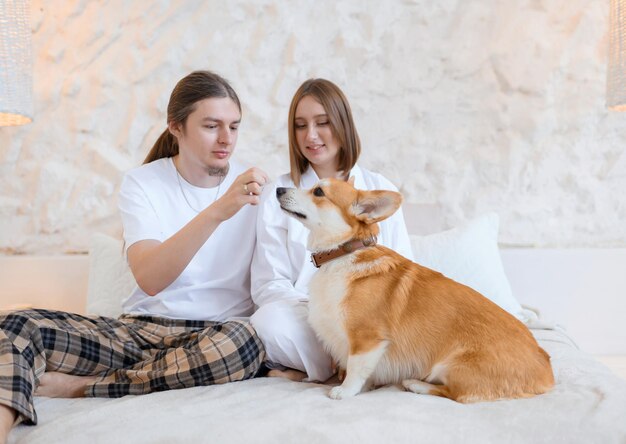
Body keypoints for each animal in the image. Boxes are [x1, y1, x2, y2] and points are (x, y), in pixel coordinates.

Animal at [276, 178, 552, 402]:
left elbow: (356, 369)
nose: (278, 189)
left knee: (455, 394)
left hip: (450, 366)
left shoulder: (367, 339)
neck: (343, 253)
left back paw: (415, 384)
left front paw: (345, 391)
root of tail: (546, 372)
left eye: (318, 191)